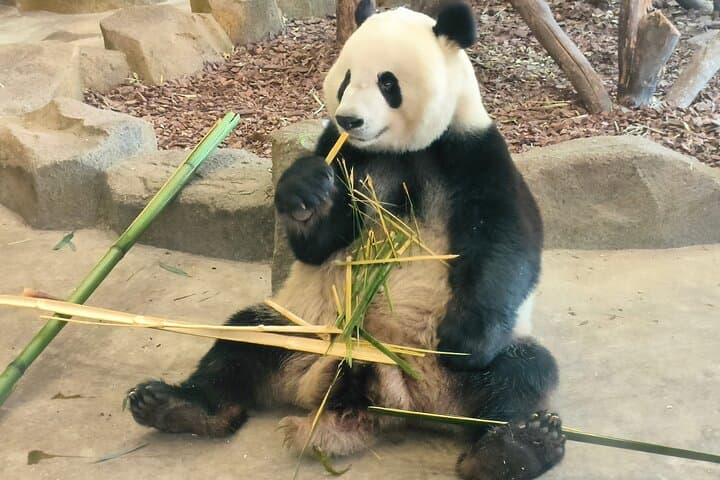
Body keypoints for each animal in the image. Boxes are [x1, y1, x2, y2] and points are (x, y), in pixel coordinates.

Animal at [127, 3, 565, 479]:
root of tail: (390, 396)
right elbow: (318, 243)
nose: (350, 119)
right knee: (242, 343)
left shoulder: (473, 152)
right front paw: (303, 190)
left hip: (455, 372)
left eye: (388, 82)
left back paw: (514, 447)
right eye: (346, 78)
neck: (399, 151)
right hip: (300, 332)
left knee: (520, 374)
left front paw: (465, 338)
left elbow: (506, 244)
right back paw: (176, 406)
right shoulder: (346, 155)